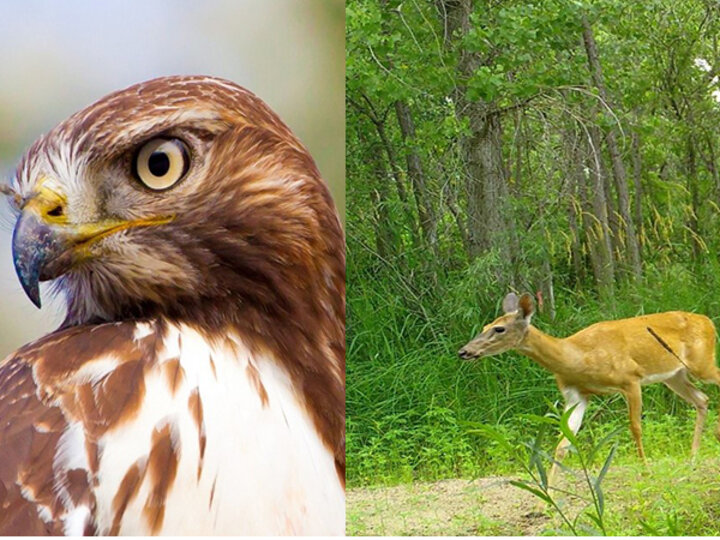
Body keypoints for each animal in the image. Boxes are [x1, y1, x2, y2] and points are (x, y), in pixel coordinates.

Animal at [458, 294, 716, 488]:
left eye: (499, 329)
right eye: (485, 326)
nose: (464, 351)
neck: (578, 356)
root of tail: (708, 321)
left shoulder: (630, 379)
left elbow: (635, 428)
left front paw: (646, 472)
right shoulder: (575, 394)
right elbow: (563, 442)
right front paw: (548, 497)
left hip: (701, 363)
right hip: (674, 376)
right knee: (702, 399)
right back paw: (692, 458)